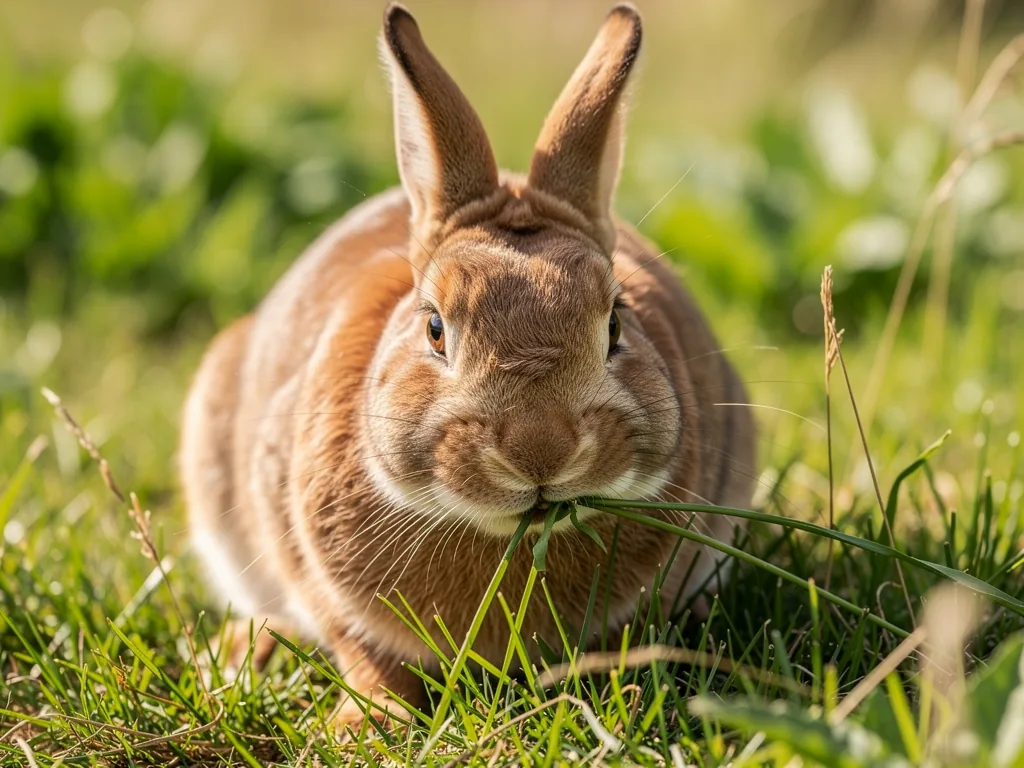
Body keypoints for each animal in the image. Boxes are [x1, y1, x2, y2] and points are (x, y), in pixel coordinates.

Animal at [180, 1, 755, 726]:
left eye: (616, 324)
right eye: (434, 329)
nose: (540, 451)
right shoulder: (318, 578)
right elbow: (364, 653)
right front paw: (367, 723)